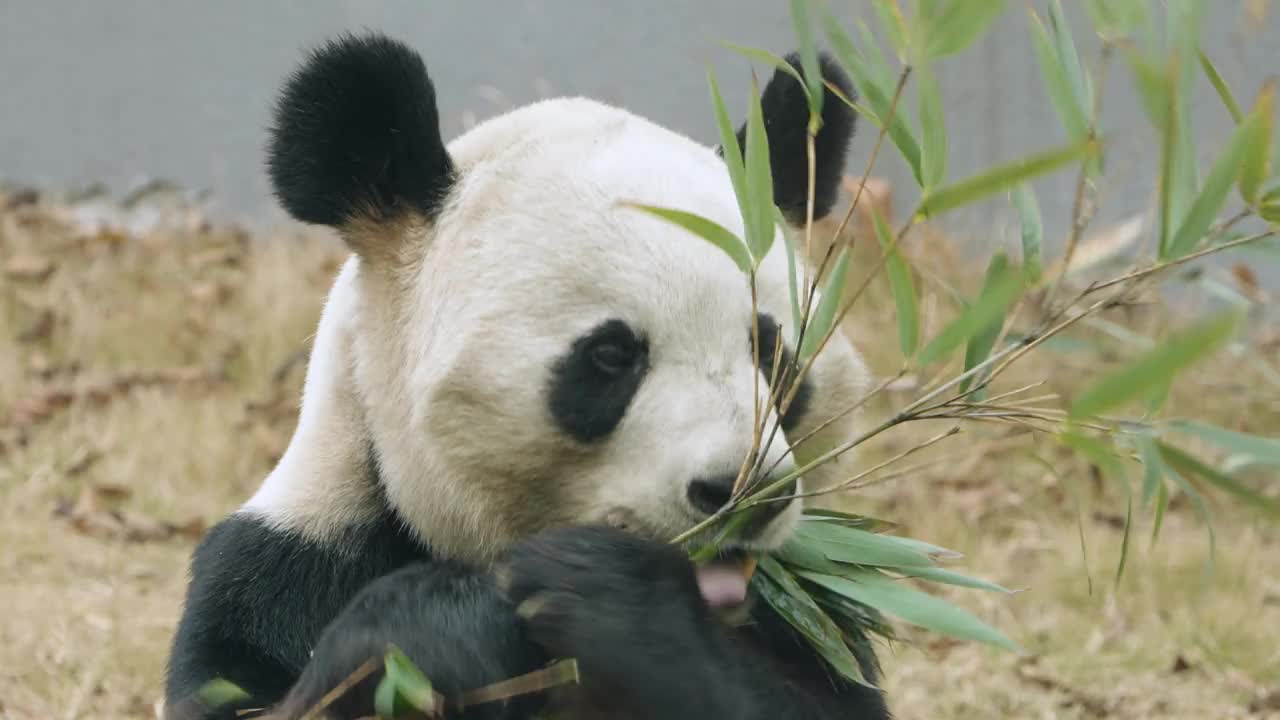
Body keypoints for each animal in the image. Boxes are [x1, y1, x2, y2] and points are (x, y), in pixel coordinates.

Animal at [162, 32, 890, 717]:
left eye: (769, 351)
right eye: (611, 356)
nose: (746, 492)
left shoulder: (809, 611)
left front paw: (609, 596)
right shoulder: (290, 563)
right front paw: (436, 630)